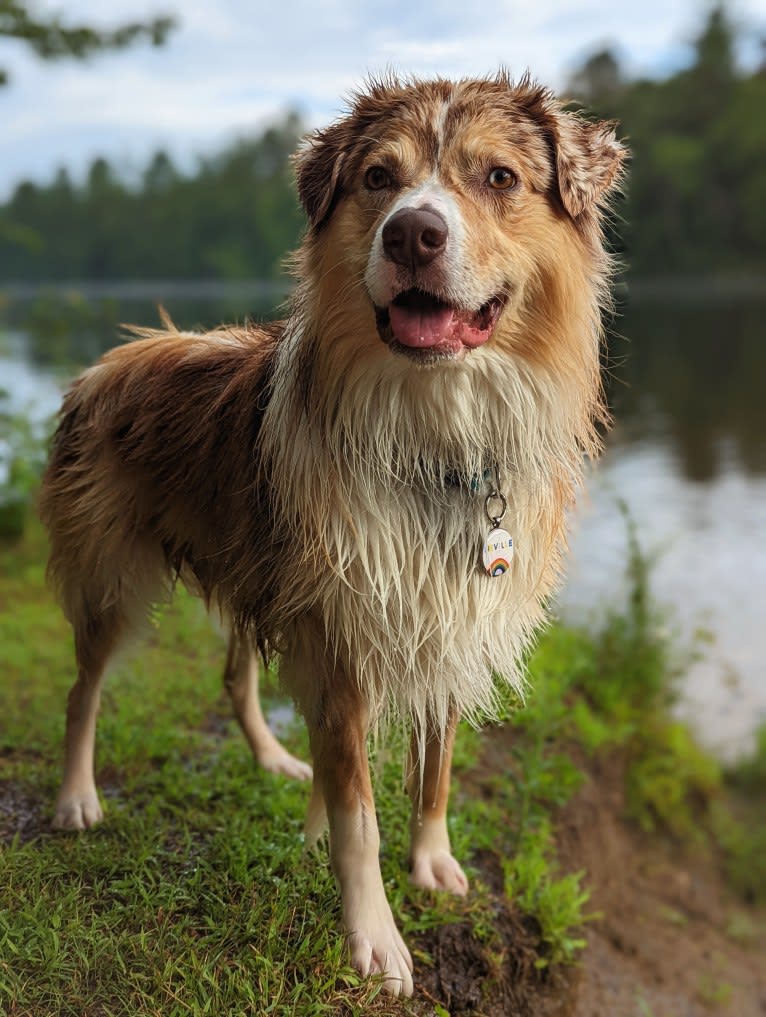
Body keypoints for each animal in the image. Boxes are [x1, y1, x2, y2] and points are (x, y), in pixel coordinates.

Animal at [40, 75, 622, 996]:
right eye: (379, 178)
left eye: (499, 177)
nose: (413, 233)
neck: (437, 434)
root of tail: (113, 358)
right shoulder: (341, 626)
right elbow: (358, 811)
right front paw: (373, 934)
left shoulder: (439, 612)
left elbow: (434, 764)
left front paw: (431, 861)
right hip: (113, 574)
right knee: (82, 689)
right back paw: (75, 797)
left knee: (233, 674)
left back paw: (279, 759)